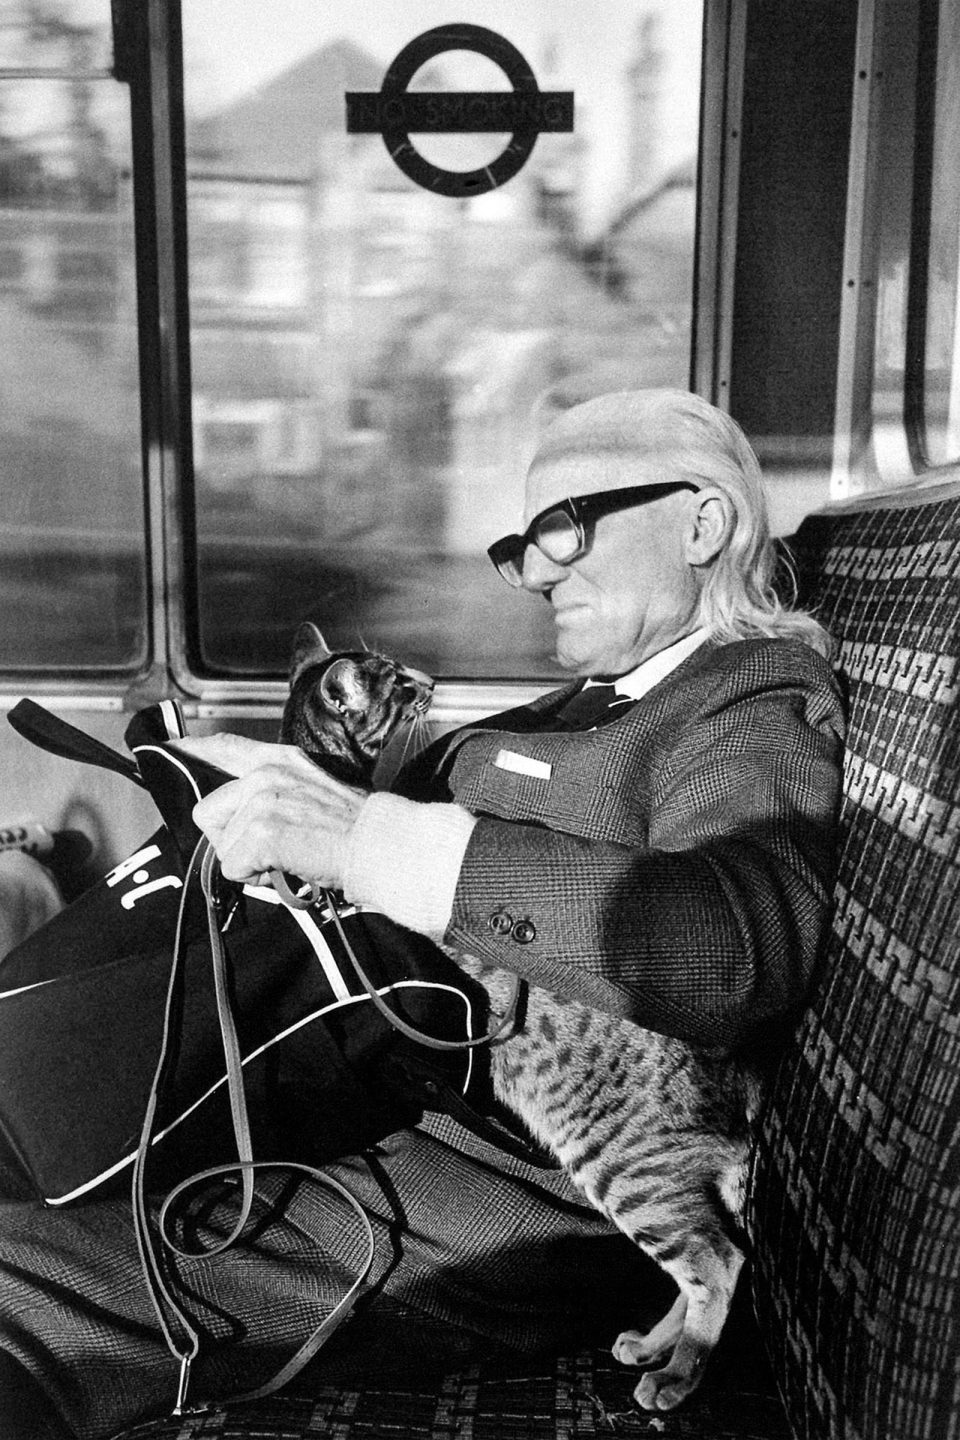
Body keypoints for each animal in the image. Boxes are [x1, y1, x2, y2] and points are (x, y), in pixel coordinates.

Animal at [281, 625, 759, 1413]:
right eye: (396, 682)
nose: (428, 680)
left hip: (625, 1168)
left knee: (717, 1263)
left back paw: (678, 1374)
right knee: (706, 1261)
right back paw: (652, 1347)